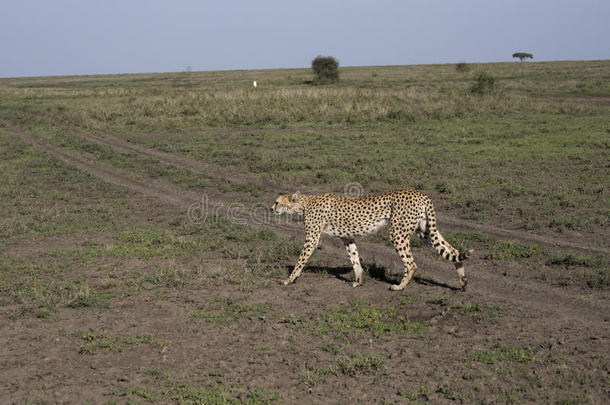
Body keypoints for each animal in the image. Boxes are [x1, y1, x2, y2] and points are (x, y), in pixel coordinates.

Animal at [274, 189, 472, 290]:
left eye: (277, 202)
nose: (271, 208)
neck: (305, 203)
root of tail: (420, 193)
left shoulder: (312, 239)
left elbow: (300, 261)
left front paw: (288, 280)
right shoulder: (348, 238)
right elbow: (354, 259)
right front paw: (359, 280)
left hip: (397, 232)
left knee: (412, 264)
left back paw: (399, 286)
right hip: (425, 230)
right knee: (452, 251)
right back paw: (462, 281)